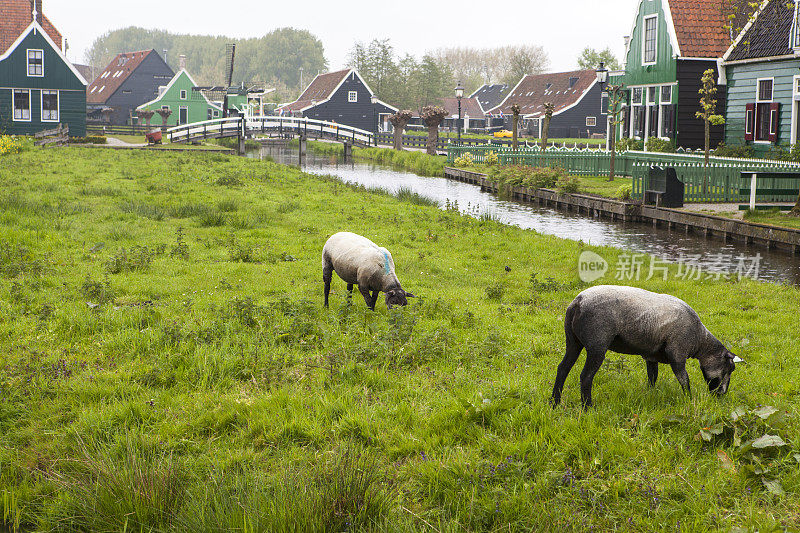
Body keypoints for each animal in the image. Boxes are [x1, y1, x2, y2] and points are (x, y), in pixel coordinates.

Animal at [552, 286, 736, 408]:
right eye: (729, 369)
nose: (722, 395)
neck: (699, 340)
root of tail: (578, 302)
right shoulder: (677, 352)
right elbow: (684, 379)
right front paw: (689, 400)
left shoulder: (651, 356)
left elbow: (652, 376)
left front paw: (650, 394)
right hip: (597, 344)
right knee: (586, 376)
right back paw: (588, 407)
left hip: (573, 341)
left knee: (563, 368)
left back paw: (555, 402)